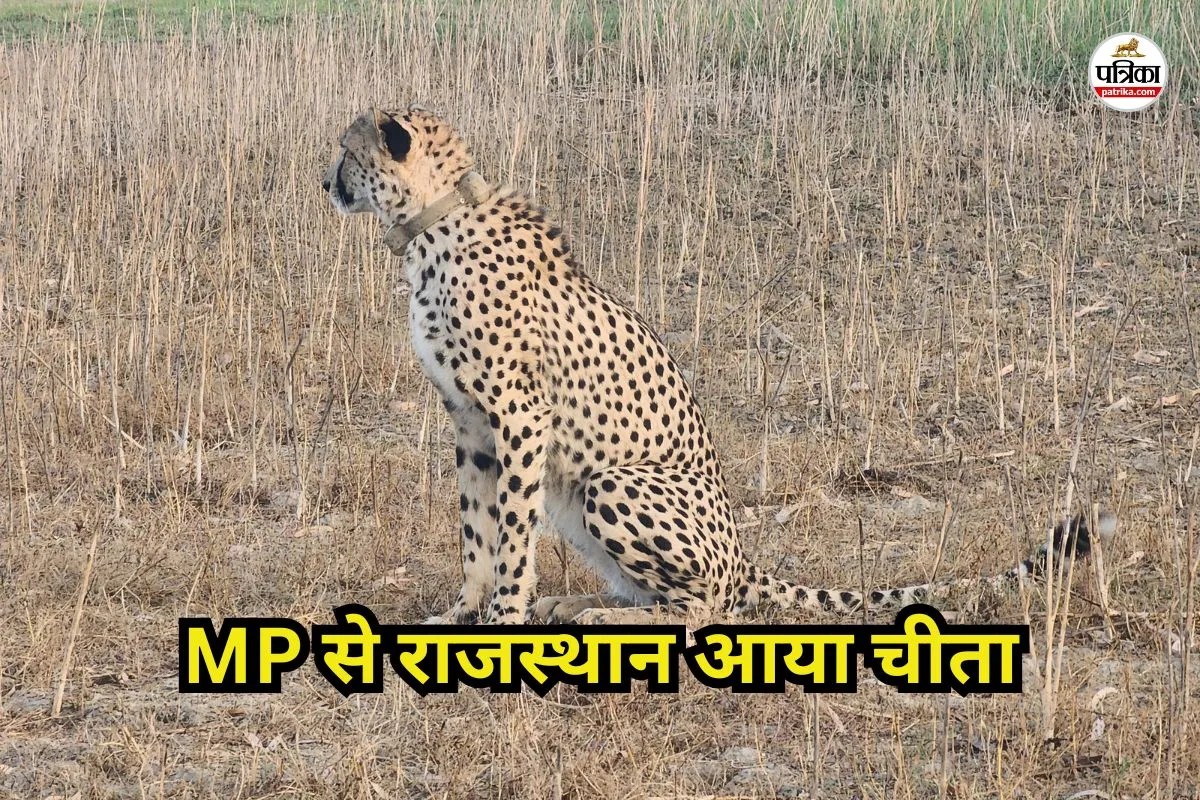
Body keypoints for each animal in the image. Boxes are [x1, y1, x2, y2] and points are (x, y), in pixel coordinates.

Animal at [321, 104, 1111, 625]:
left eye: (345, 151)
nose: (325, 181)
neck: (431, 224)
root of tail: (743, 553)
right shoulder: (470, 422)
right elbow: (476, 530)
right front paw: (464, 611)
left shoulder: (519, 417)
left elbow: (510, 531)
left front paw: (504, 617)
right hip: (575, 497)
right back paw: (578, 601)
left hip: (611, 481)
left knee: (703, 609)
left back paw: (601, 616)